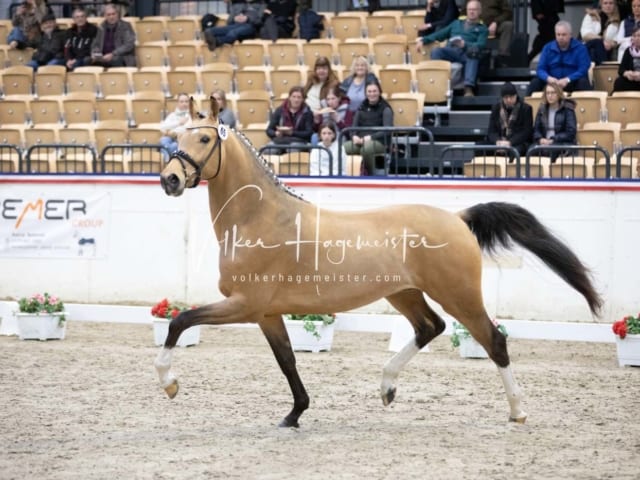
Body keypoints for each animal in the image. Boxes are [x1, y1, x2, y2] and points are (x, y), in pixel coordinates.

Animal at [154, 96, 600, 428]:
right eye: (177, 137)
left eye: (205, 138)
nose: (169, 180)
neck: (262, 218)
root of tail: (457, 219)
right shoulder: (267, 313)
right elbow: (287, 362)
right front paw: (295, 413)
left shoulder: (245, 305)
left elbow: (179, 322)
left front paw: (169, 383)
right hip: (405, 293)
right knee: (430, 327)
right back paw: (387, 388)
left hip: (459, 296)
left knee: (494, 341)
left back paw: (517, 411)